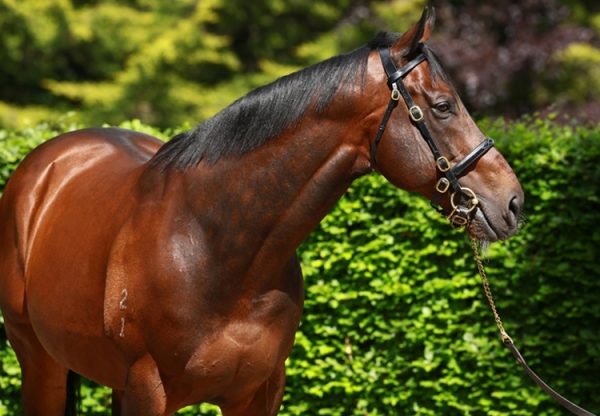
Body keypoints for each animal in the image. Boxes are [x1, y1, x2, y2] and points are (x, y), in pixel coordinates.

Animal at [0, 7, 524, 416]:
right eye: (442, 106)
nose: (513, 201)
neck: (216, 246)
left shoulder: (259, 393)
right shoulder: (148, 393)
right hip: (40, 364)